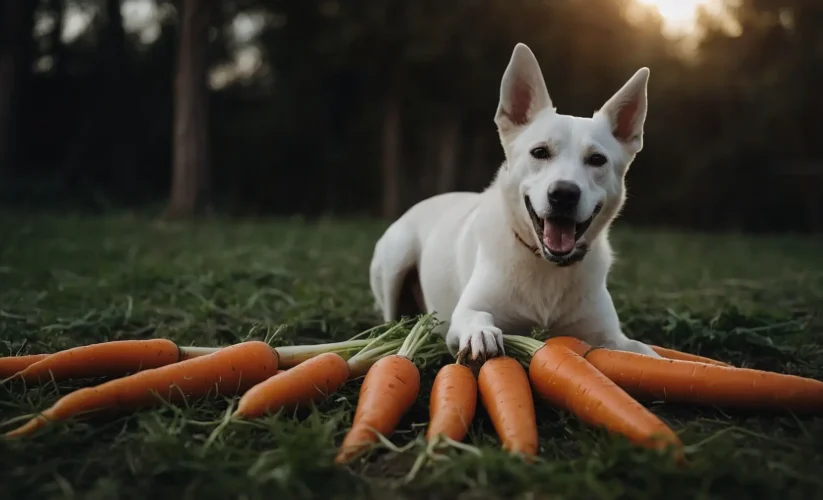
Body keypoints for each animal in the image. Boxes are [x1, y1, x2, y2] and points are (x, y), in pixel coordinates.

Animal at [370, 42, 660, 360]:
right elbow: (475, 316)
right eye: (540, 152)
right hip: (397, 257)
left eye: (597, 159)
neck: (546, 265)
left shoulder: (610, 337)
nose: (564, 194)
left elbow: (644, 351)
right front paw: (481, 334)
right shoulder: (464, 315)